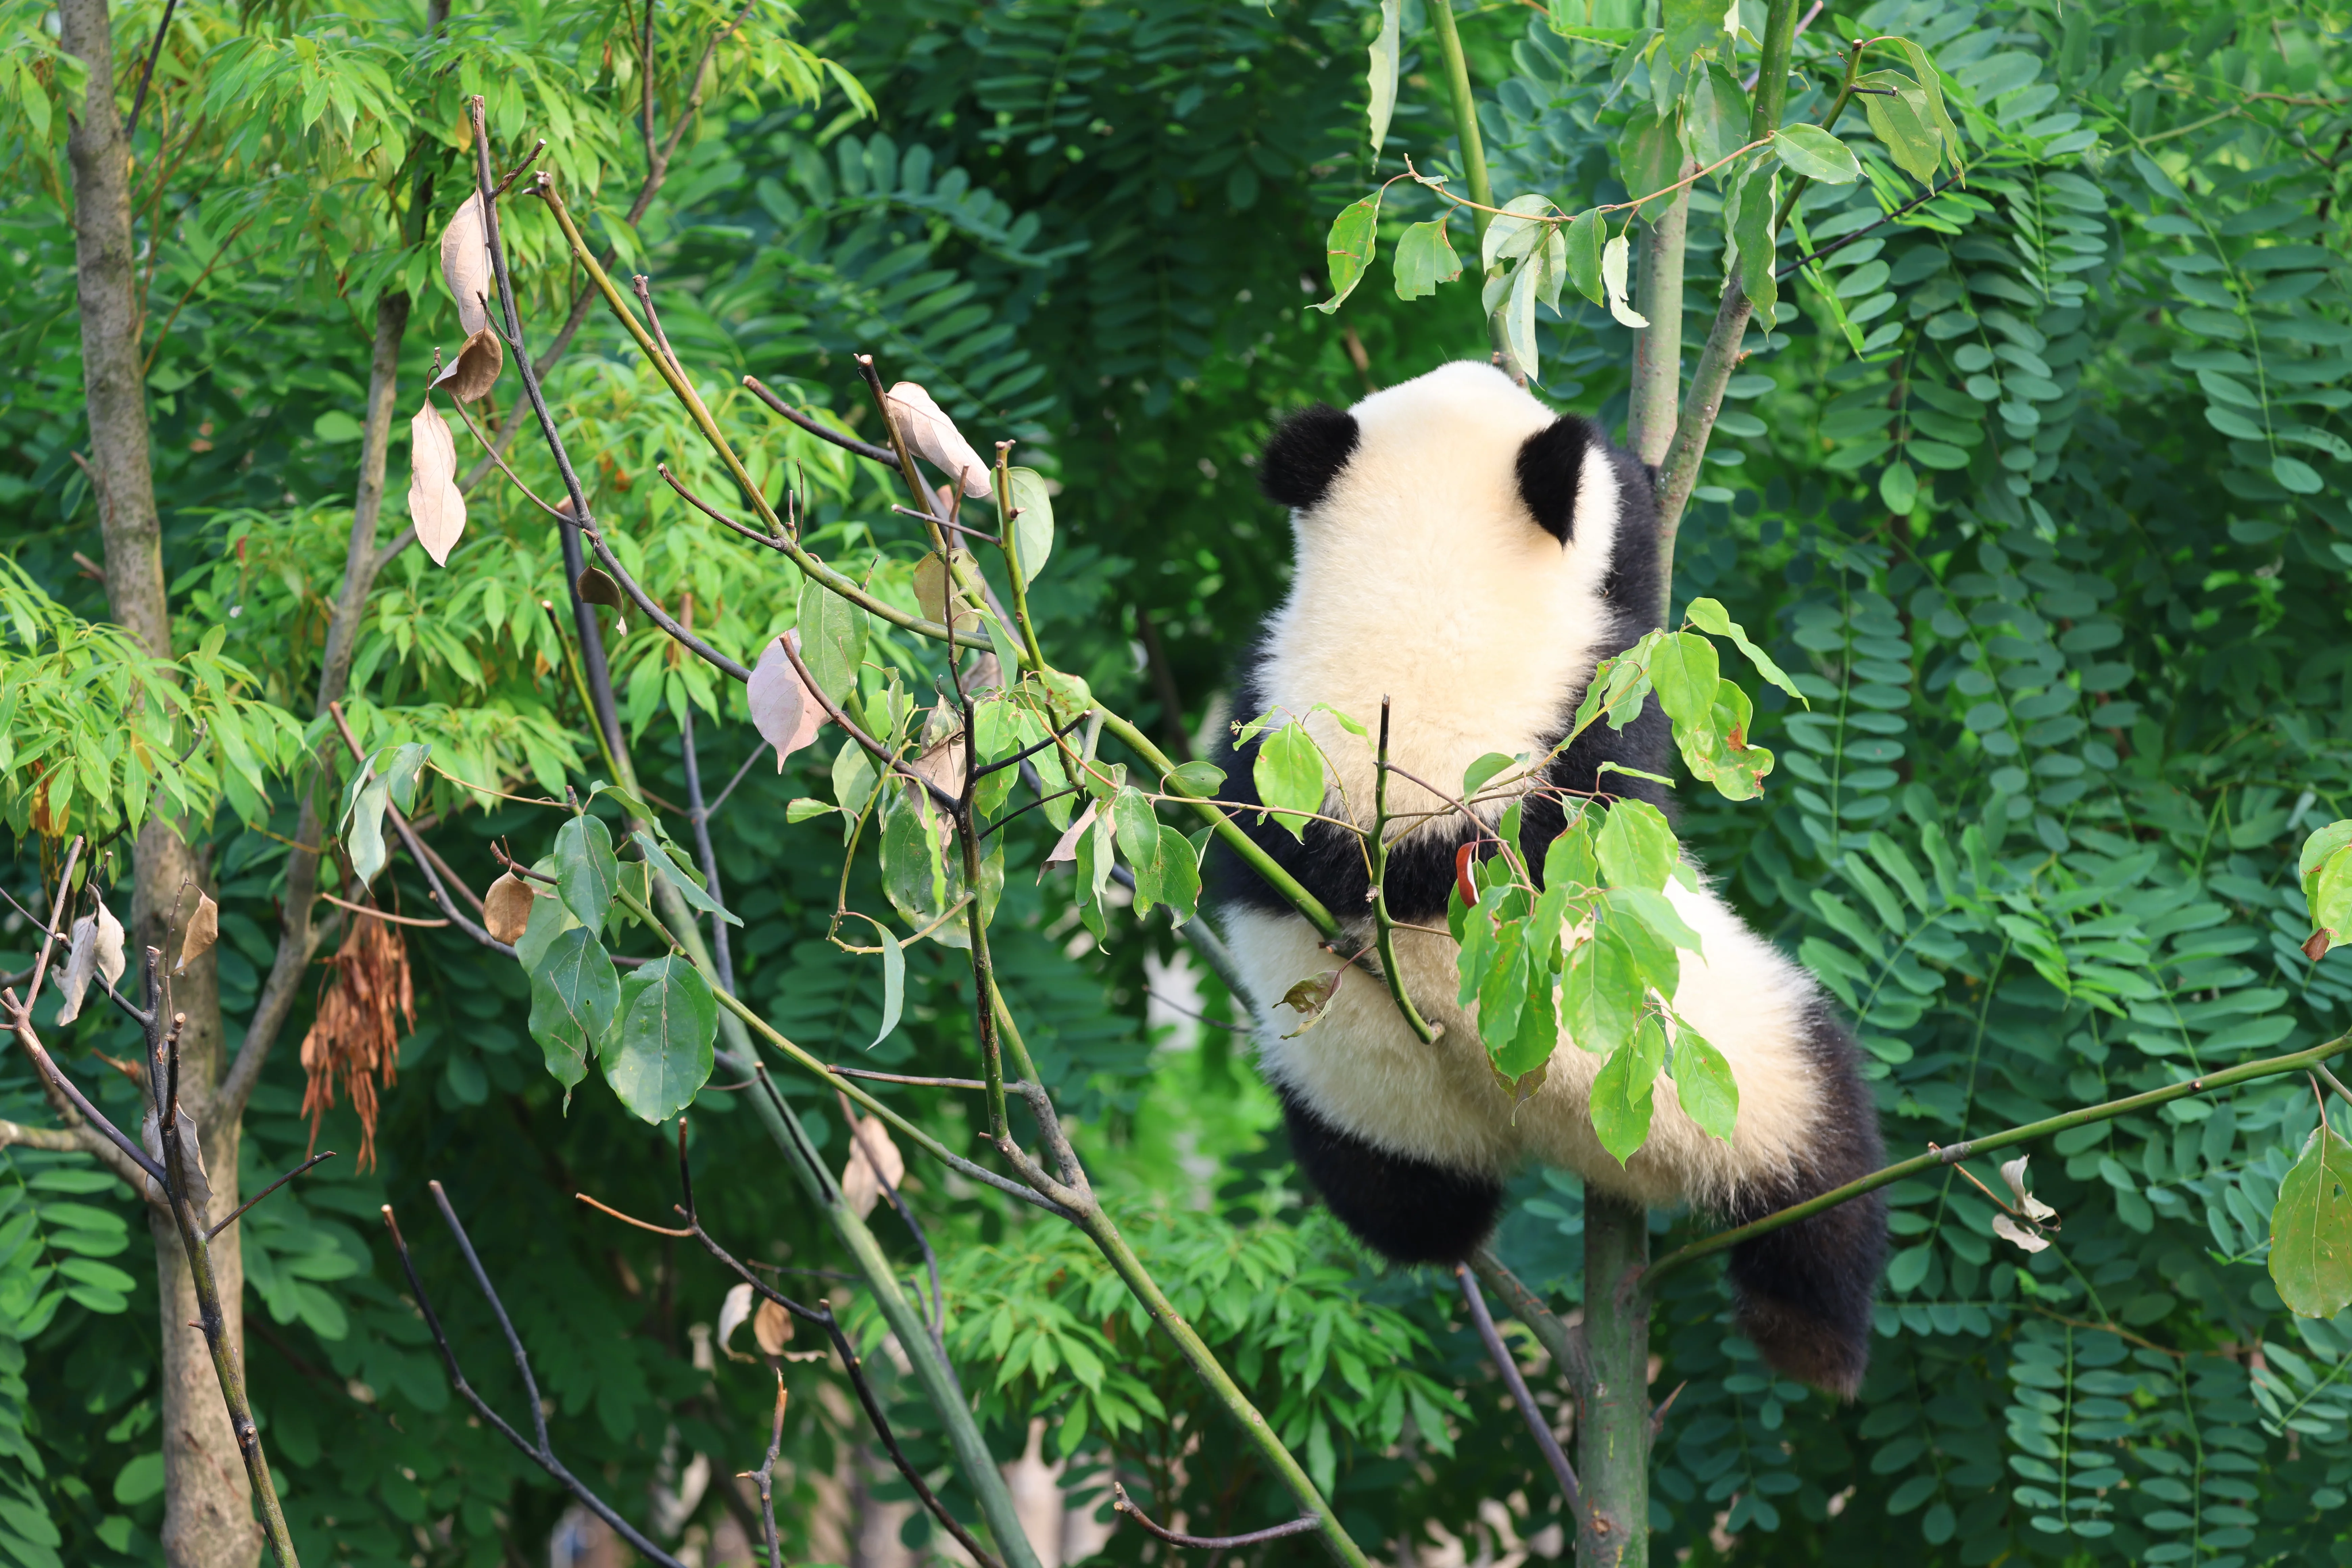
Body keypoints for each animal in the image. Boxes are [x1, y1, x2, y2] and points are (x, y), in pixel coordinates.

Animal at [1205, 359, 1887, 1396]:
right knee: (1822, 1161)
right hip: (1726, 1070)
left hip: (1353, 1094)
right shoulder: (1582, 712)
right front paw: (1641, 485)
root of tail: (1541, 1121)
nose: (1493, 362)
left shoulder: (1259, 732)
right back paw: (1816, 1342)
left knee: (1402, 1203)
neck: (1413, 613)